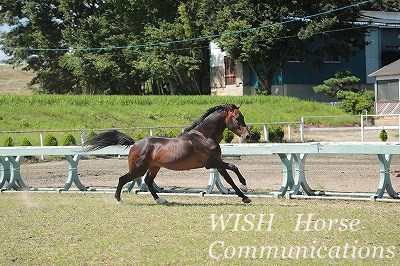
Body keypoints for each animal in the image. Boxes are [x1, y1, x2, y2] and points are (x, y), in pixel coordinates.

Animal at [83, 104, 252, 204]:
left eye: (243, 117)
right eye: (237, 118)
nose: (248, 135)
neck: (204, 136)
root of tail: (135, 143)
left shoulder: (217, 163)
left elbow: (230, 178)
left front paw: (245, 197)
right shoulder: (211, 163)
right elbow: (233, 167)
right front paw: (244, 186)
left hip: (154, 168)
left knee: (148, 181)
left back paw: (160, 200)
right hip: (138, 169)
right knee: (123, 178)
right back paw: (118, 199)